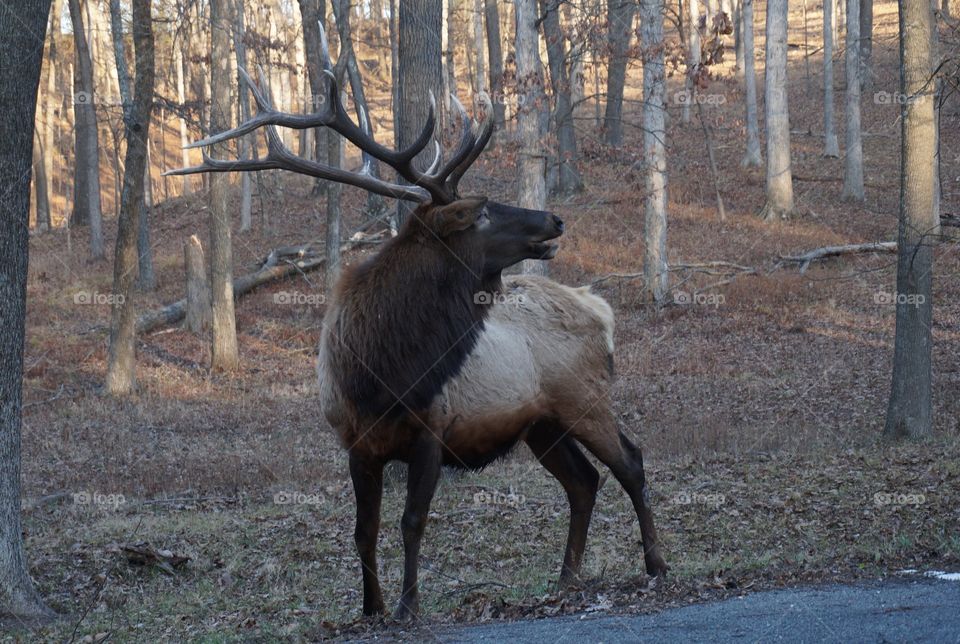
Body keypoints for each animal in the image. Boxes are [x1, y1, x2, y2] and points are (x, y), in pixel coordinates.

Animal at [171, 23, 668, 620]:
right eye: (481, 213)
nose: (554, 219)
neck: (378, 376)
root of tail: (599, 308)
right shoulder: (355, 444)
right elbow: (363, 531)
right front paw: (371, 608)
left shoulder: (432, 431)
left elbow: (412, 522)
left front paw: (409, 604)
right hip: (542, 423)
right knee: (584, 481)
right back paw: (567, 576)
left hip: (584, 396)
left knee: (631, 462)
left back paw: (656, 564)